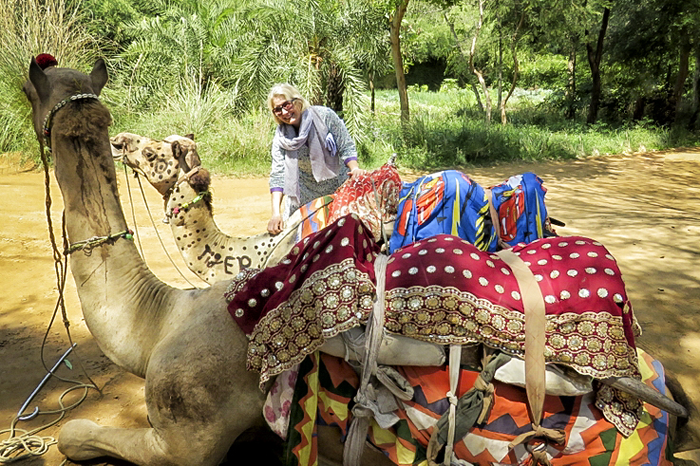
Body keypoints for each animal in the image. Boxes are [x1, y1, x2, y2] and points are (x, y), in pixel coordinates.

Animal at [23, 57, 699, 466]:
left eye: (159, 151)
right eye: (92, 108)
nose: (116, 138)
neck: (162, 319)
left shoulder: (187, 436)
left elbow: (72, 435)